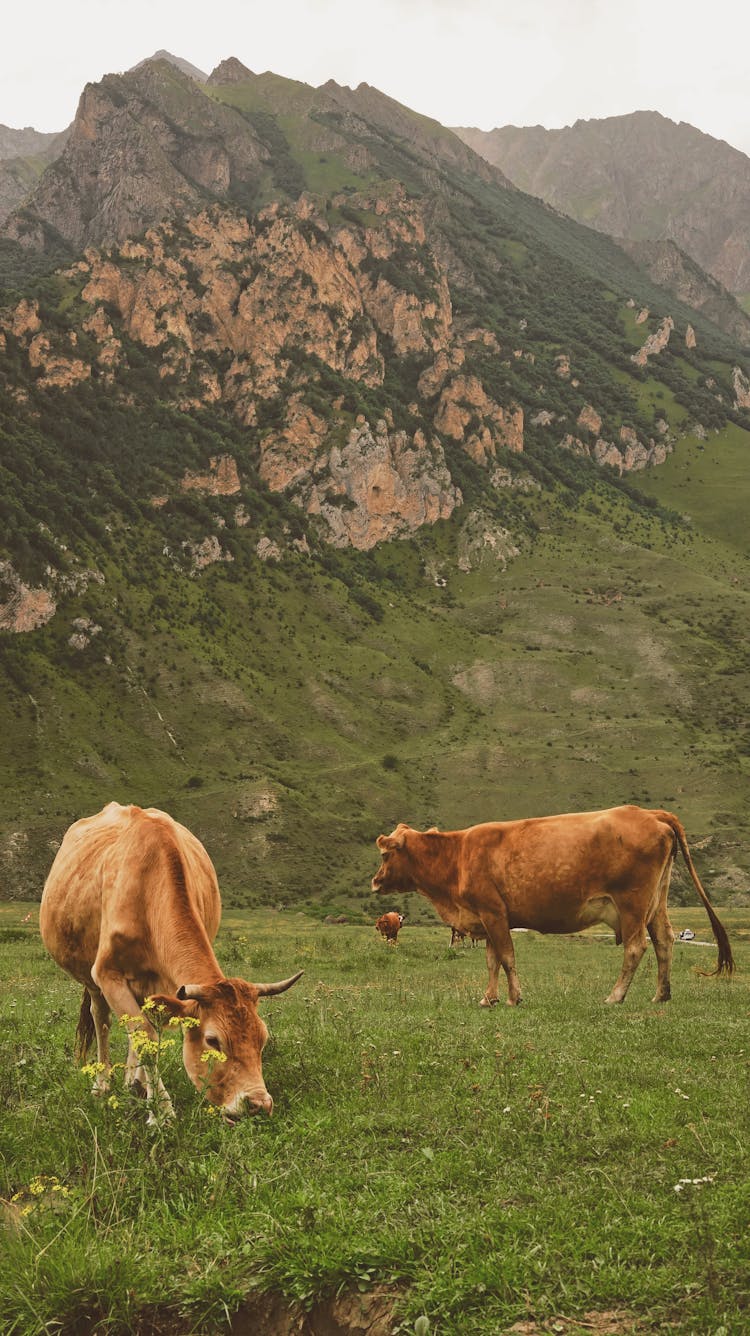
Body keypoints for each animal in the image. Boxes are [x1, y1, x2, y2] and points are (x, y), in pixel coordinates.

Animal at [39, 801, 302, 1116]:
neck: (147, 889)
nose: (259, 1104)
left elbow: (147, 1032)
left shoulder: (167, 987)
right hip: (92, 981)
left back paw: (133, 1082)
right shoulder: (107, 974)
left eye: (262, 1038)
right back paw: (103, 1084)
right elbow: (145, 1035)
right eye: (213, 1040)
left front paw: (143, 1091)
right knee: (101, 1019)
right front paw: (162, 1111)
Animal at [371, 801, 732, 1004]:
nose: (374, 882)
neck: (458, 854)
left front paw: (514, 997)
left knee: (636, 947)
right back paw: (661, 994)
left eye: (386, 854)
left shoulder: (493, 913)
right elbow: (492, 961)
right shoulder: (488, 917)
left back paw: (615, 996)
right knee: (664, 941)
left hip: (632, 903)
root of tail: (649, 813)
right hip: (657, 902)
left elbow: (506, 957)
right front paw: (489, 998)